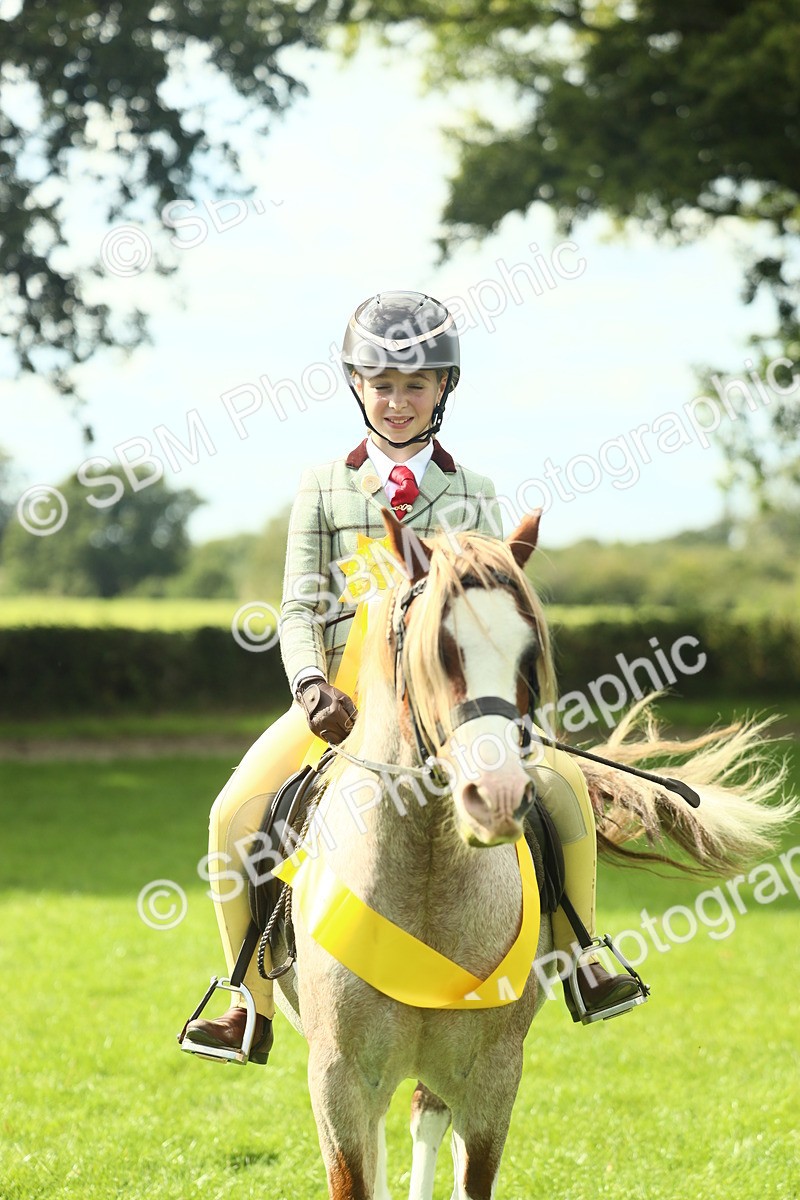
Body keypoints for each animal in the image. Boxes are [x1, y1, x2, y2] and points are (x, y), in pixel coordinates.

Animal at [270, 508, 795, 1200]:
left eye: (527, 653)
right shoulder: (338, 1080)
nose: (497, 797)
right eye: (440, 650)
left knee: (423, 1117)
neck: (426, 879)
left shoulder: (492, 1078)